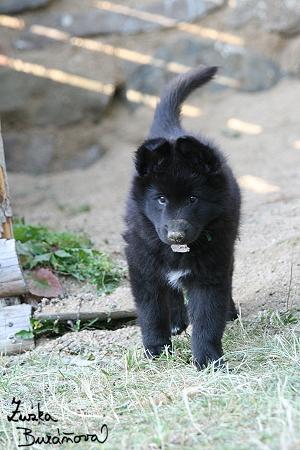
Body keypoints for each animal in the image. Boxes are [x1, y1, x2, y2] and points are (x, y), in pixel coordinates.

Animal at [123, 67, 240, 370]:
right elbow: (151, 313)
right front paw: (156, 350)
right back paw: (176, 321)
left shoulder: (211, 271)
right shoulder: (142, 266)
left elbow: (207, 319)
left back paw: (229, 311)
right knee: (172, 291)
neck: (179, 251)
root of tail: (172, 131)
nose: (175, 234)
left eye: (193, 199)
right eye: (161, 199)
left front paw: (208, 359)